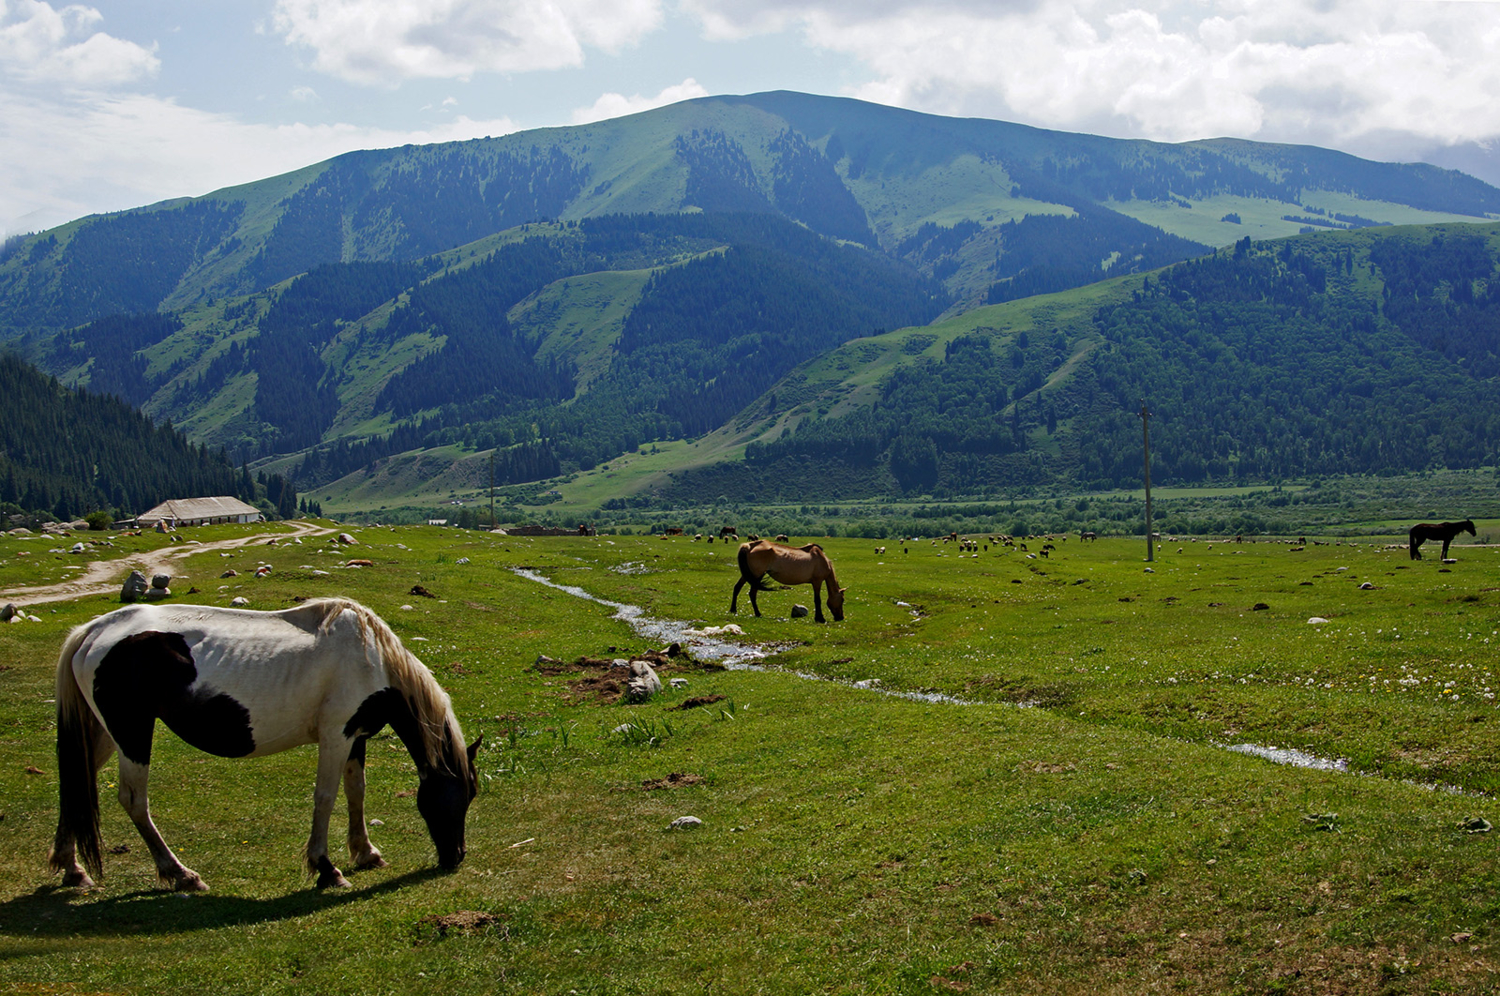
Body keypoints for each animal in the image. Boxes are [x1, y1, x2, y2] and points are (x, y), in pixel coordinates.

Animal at [49, 594, 480, 888]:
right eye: (463, 794)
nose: (456, 857)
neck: (372, 658)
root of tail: (93, 631)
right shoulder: (336, 735)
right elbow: (325, 798)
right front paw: (326, 868)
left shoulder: (355, 736)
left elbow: (355, 790)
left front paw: (365, 852)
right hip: (132, 734)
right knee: (134, 801)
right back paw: (180, 874)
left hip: (106, 733)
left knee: (77, 782)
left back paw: (73, 868)